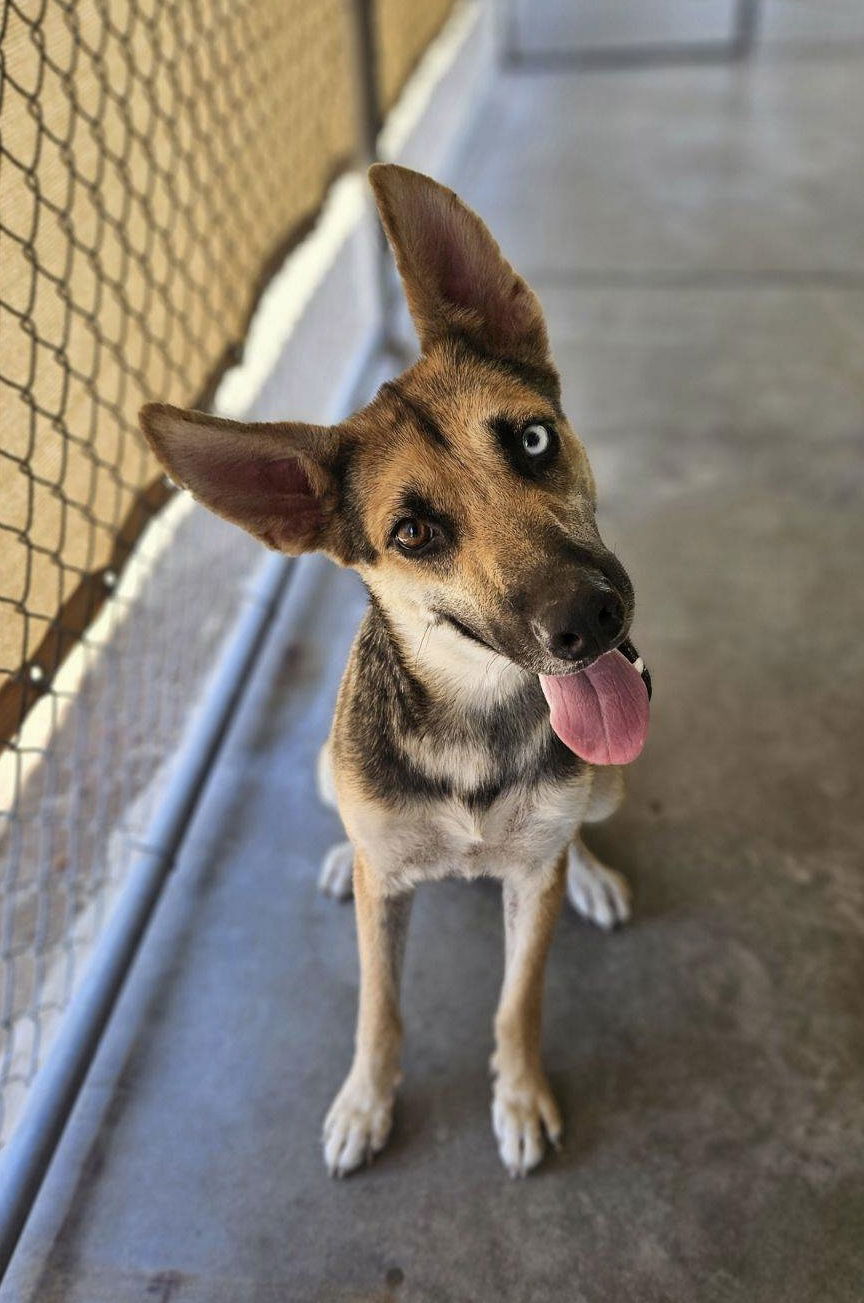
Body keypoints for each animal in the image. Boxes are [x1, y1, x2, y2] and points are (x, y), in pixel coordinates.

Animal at [140, 165, 648, 1183]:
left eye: (533, 441)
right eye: (413, 533)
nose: (591, 619)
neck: (477, 713)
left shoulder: (530, 878)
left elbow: (517, 999)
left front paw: (519, 1096)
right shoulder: (386, 907)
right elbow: (378, 1006)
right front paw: (365, 1104)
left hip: (609, 781)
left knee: (578, 830)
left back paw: (591, 872)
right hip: (323, 771)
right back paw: (348, 855)